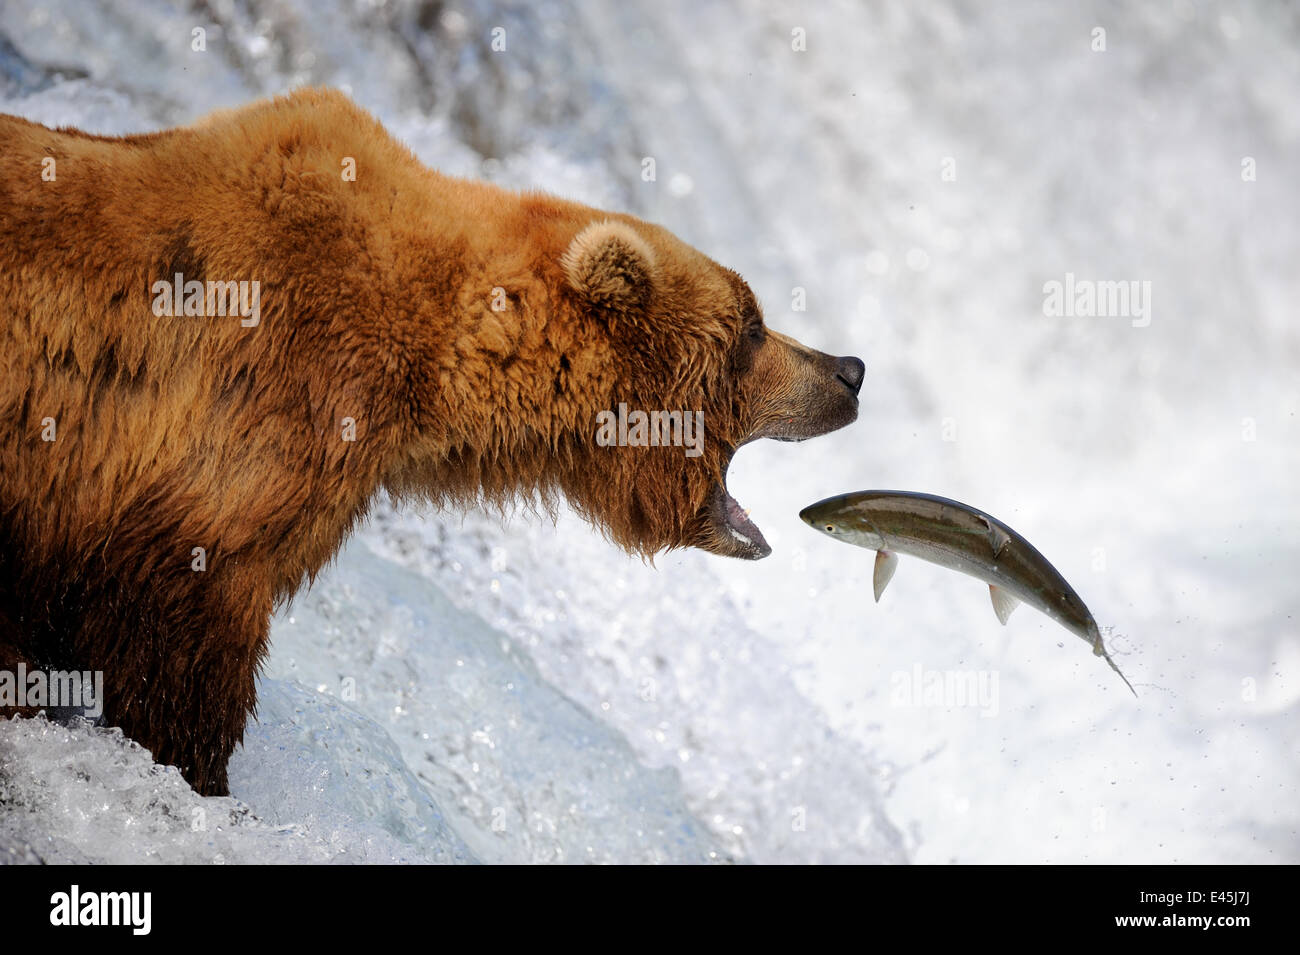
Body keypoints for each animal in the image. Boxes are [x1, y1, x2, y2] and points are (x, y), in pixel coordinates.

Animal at [0, 88, 864, 796]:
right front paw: (199, 773)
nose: (848, 370)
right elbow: (180, 640)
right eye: (750, 328)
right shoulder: (240, 426)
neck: (434, 361)